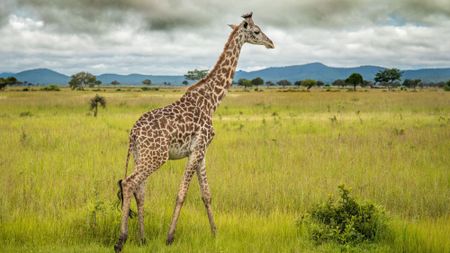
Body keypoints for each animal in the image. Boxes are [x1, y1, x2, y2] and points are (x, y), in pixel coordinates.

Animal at [114, 12, 272, 253]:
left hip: (142, 155)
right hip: (156, 156)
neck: (211, 101)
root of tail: (133, 133)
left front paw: (215, 234)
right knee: (128, 183)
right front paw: (170, 238)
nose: (271, 43)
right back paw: (121, 240)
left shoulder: (200, 151)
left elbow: (206, 194)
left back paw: (142, 238)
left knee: (139, 190)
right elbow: (181, 194)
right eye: (257, 31)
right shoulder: (198, 149)